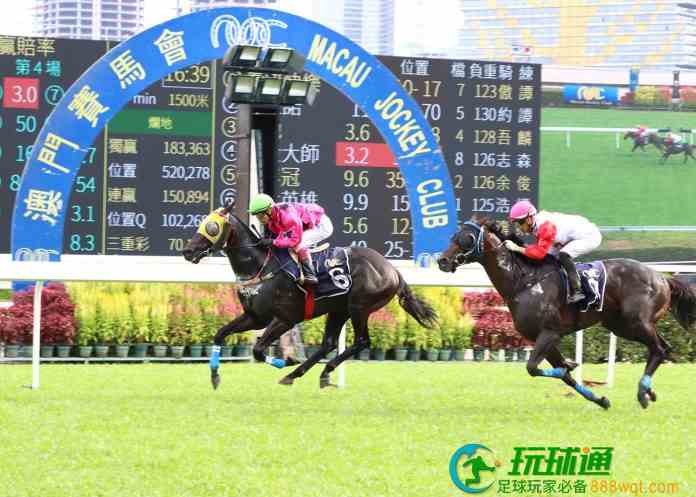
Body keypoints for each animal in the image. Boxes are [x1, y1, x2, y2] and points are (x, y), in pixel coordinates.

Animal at [183, 203, 438, 389]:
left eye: (212, 227)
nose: (187, 250)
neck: (261, 266)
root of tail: (392, 269)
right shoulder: (255, 317)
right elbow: (220, 334)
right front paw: (215, 376)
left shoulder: (285, 319)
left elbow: (258, 350)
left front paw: (284, 360)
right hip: (338, 309)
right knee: (328, 343)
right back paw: (307, 374)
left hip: (360, 307)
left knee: (361, 341)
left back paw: (310, 371)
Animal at [437, 217, 696, 410]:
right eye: (452, 237)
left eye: (467, 238)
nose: (442, 261)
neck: (524, 282)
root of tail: (662, 277)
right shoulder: (543, 339)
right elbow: (564, 376)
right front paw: (600, 399)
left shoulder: (550, 333)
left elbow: (533, 368)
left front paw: (571, 367)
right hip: (621, 326)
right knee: (662, 348)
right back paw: (649, 391)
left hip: (636, 323)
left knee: (659, 349)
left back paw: (643, 392)